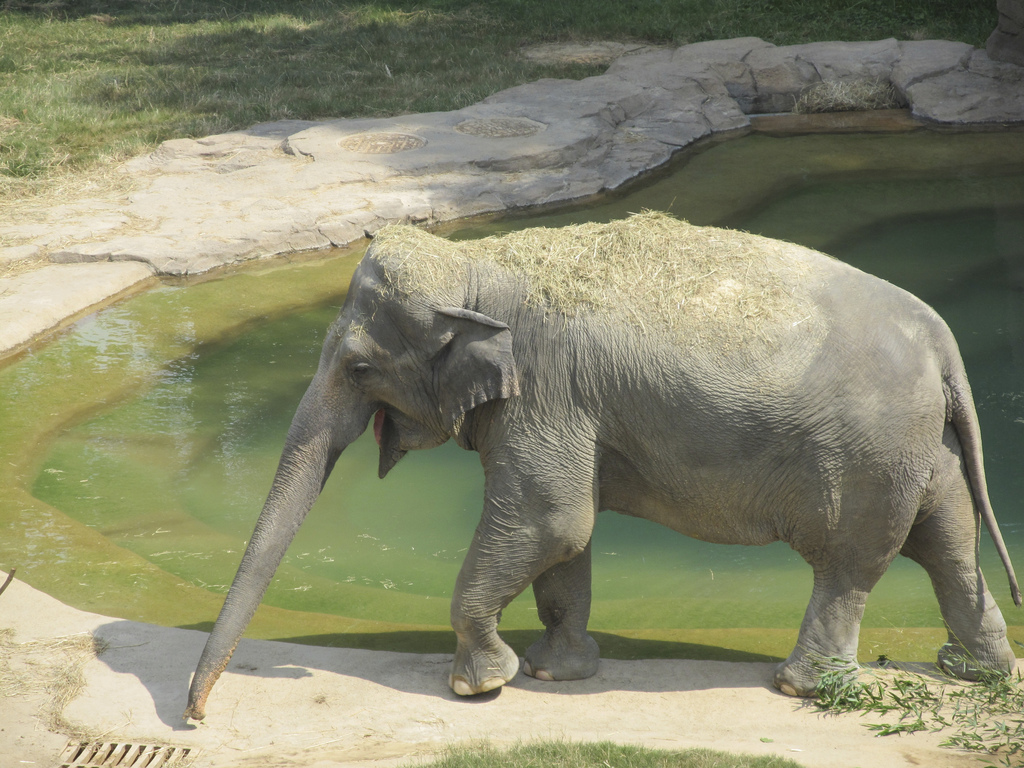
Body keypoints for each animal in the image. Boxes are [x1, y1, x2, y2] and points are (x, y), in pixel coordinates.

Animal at [184, 211, 1020, 720]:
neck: (479, 261)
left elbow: (549, 519)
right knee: (946, 543)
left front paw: (481, 684)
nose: (197, 714)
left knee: (848, 565)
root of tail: (942, 338)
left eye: (357, 367)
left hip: (867, 457)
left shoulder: (544, 390)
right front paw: (557, 671)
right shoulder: (561, 407)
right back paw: (976, 670)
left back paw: (802, 685)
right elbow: (566, 538)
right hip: (920, 450)